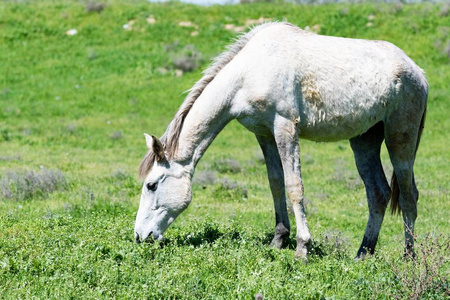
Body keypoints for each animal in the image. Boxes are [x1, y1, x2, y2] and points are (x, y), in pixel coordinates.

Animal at [133, 22, 426, 258]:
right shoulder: (264, 133)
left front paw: (302, 248)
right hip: (364, 141)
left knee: (408, 195)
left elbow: (294, 186)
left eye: (151, 185)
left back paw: (408, 257)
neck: (250, 71)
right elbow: (276, 183)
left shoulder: (285, 127)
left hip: (400, 138)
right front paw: (278, 240)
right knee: (378, 194)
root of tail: (418, 72)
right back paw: (363, 253)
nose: (138, 236)